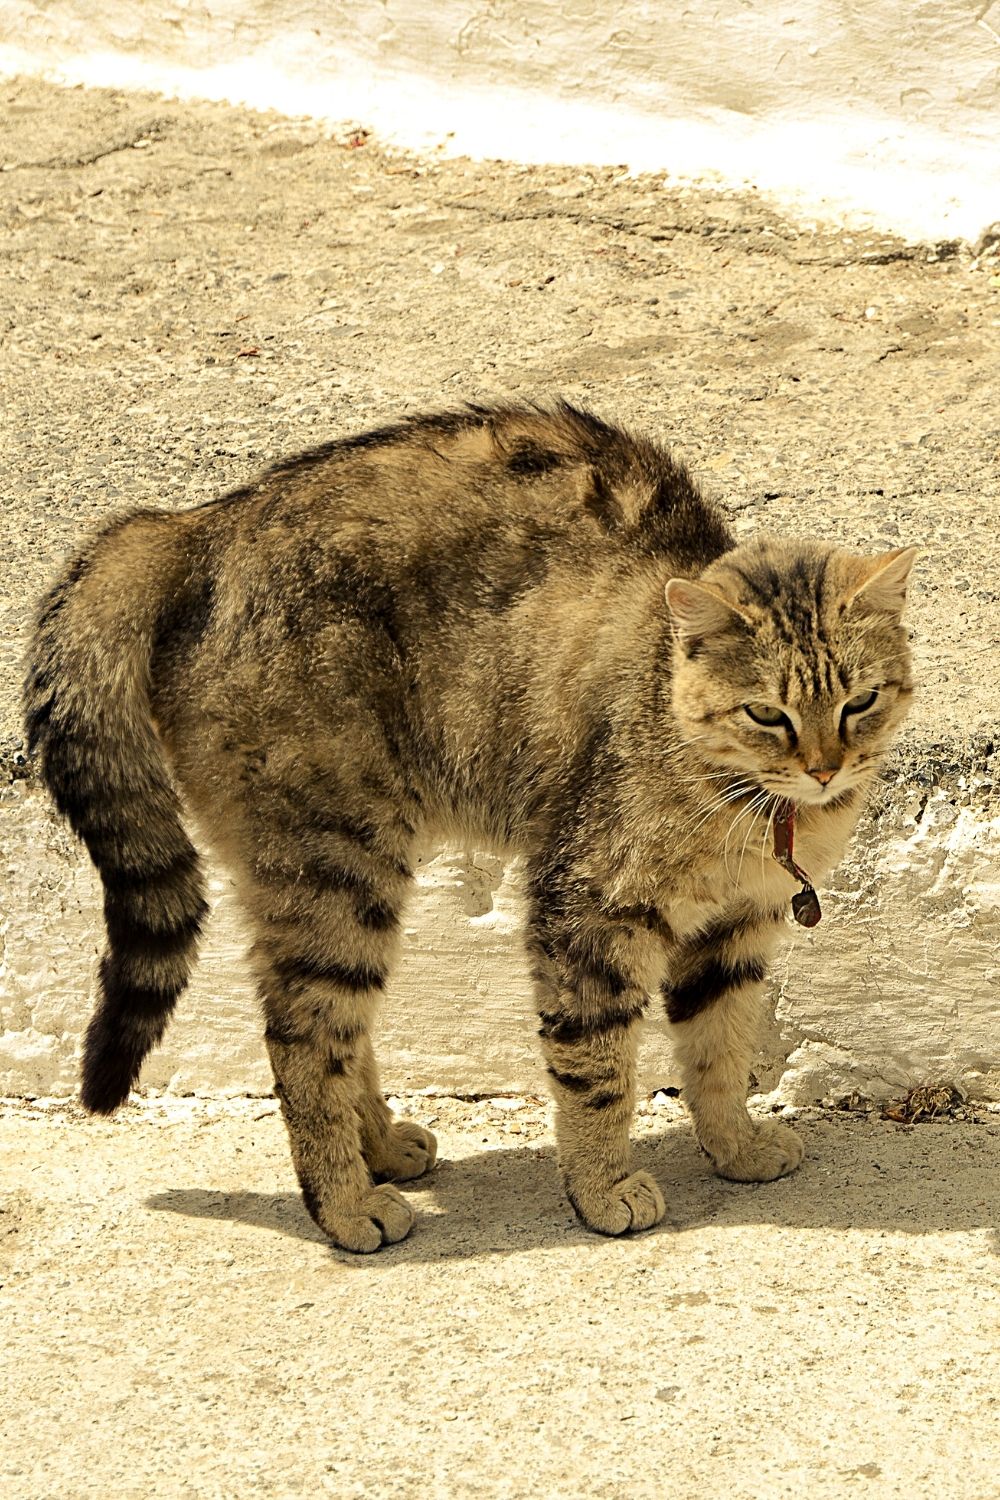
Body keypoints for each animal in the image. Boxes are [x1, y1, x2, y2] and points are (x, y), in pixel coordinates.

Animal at [21, 402, 917, 1254]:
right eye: (767, 714)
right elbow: (597, 1067)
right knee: (303, 1037)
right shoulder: (587, 910)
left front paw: (736, 1149)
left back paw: (379, 1147)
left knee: (342, 1028)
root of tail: (191, 524)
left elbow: (721, 1053)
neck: (753, 807)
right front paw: (601, 1188)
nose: (826, 768)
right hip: (339, 862)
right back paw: (344, 1204)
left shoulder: (736, 928)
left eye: (860, 701)